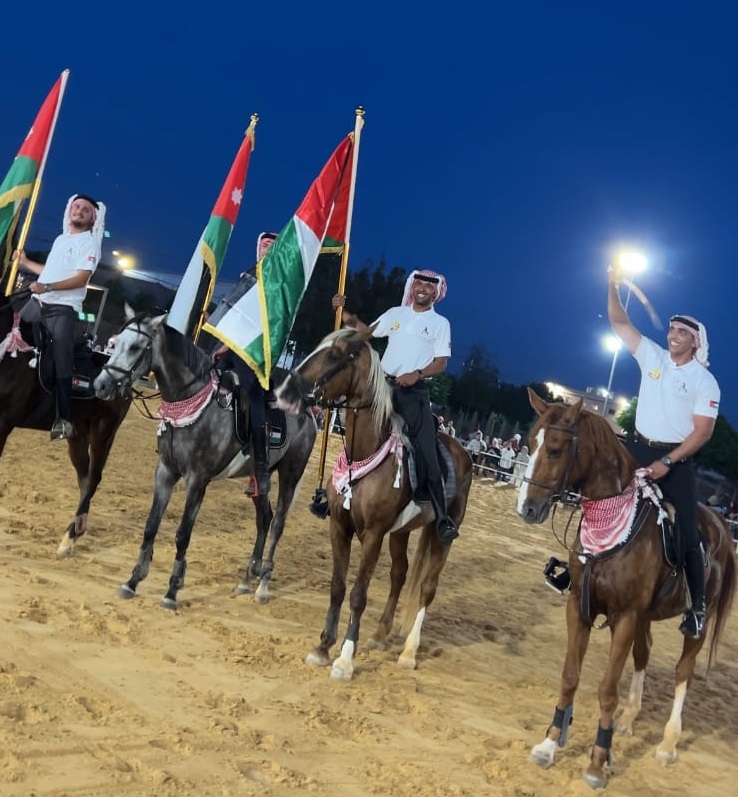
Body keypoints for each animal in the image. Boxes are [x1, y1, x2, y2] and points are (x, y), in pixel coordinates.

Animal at [0, 289, 131, 555]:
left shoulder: (2, 422)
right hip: (77, 435)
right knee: (84, 478)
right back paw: (75, 532)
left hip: (103, 433)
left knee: (93, 479)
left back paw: (69, 538)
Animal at [93, 307, 317, 608]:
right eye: (116, 343)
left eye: (137, 347)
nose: (101, 385)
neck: (192, 404)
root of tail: (309, 409)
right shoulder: (165, 471)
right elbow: (151, 526)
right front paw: (132, 581)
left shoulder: (197, 480)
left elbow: (182, 534)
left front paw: (172, 591)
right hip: (260, 479)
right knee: (264, 519)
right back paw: (247, 579)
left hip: (291, 474)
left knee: (278, 523)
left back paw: (263, 586)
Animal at [275, 327, 473, 680]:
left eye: (335, 355)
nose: (286, 391)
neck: (366, 454)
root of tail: (462, 452)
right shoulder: (340, 528)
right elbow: (338, 587)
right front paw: (323, 648)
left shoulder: (373, 536)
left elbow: (358, 595)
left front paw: (345, 660)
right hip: (401, 533)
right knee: (400, 574)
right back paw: (380, 636)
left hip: (442, 534)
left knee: (427, 587)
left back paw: (408, 653)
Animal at [517, 388, 736, 789]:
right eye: (531, 442)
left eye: (555, 449)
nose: (527, 509)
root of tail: (719, 522)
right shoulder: (581, 607)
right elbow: (570, 677)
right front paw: (549, 744)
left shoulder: (626, 617)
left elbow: (606, 689)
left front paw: (596, 762)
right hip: (646, 617)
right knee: (643, 654)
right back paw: (630, 719)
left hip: (695, 621)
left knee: (684, 671)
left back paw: (668, 743)